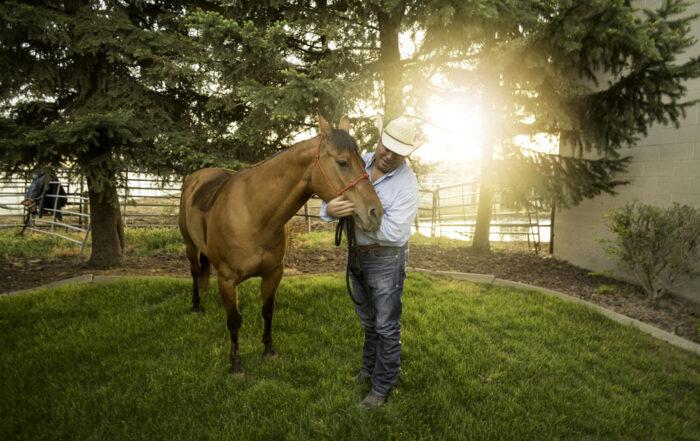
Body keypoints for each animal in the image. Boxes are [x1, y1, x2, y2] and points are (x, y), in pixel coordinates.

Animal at [178, 115, 383, 373]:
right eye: (343, 162)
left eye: (363, 163)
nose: (376, 212)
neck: (253, 214)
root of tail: (197, 177)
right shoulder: (226, 279)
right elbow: (234, 320)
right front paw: (236, 363)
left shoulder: (273, 273)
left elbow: (267, 311)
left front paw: (268, 350)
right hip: (190, 247)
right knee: (195, 272)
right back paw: (196, 305)